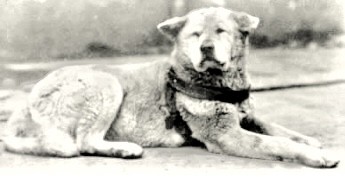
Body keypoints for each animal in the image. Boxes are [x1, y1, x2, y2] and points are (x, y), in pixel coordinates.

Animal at [1, 7, 338, 167]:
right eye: (195, 34)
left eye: (221, 31)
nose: (206, 48)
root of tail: (24, 106)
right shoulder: (226, 135)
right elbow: (277, 143)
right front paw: (316, 156)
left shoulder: (246, 116)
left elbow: (279, 129)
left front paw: (309, 140)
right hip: (107, 84)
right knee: (85, 142)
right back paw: (124, 148)